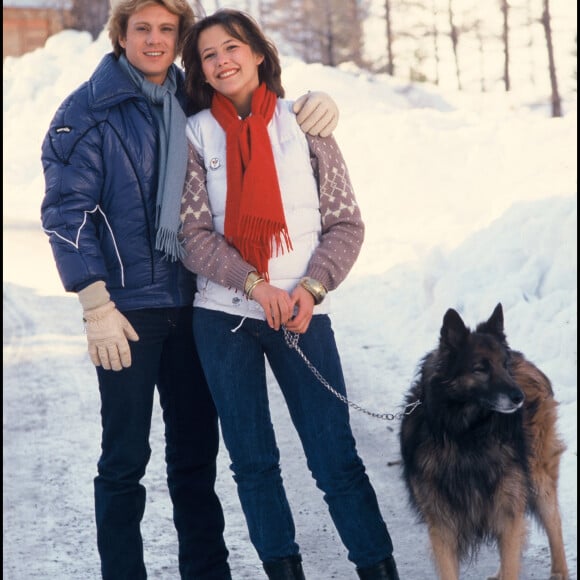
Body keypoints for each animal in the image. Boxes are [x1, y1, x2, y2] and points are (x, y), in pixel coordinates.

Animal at [398, 304, 568, 580]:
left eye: (504, 365)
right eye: (481, 368)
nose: (518, 397)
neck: (467, 435)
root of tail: (524, 359)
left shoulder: (509, 509)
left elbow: (512, 558)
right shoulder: (442, 525)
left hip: (537, 475)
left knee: (553, 521)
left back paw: (560, 571)